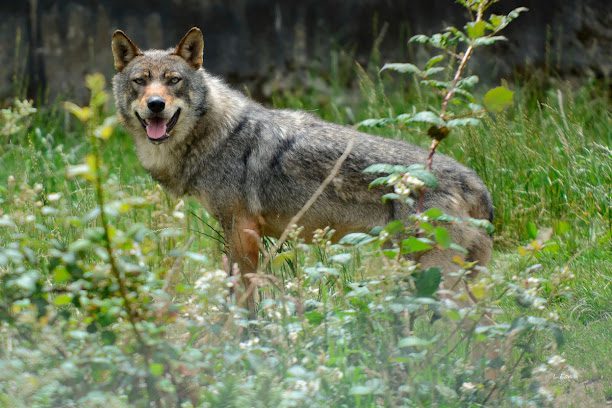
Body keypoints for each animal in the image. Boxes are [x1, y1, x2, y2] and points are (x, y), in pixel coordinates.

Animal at [110, 27, 492, 310]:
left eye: (173, 80)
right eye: (140, 81)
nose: (155, 105)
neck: (217, 134)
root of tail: (475, 182)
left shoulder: (242, 233)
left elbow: (242, 304)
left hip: (434, 279)